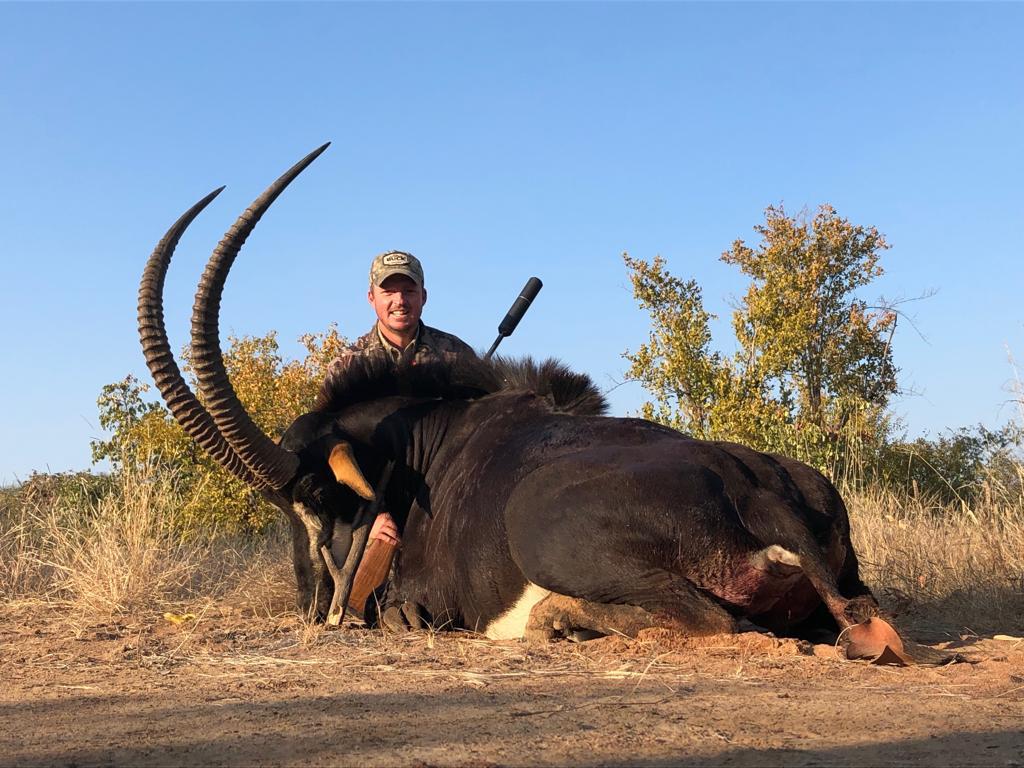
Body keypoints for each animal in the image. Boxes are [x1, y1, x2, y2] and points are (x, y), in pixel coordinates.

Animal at [138, 144, 878, 643]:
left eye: (319, 496)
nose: (314, 611)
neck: (418, 452)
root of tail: (755, 485)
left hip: (543, 526)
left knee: (712, 623)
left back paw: (553, 619)